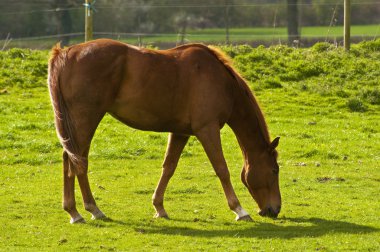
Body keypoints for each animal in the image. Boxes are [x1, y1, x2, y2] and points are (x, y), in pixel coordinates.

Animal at [47, 38, 280, 223]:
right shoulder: (208, 129)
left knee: (72, 160)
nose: (275, 209)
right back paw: (87, 210)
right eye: (275, 170)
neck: (221, 81)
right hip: (85, 120)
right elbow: (222, 169)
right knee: (76, 161)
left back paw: (79, 211)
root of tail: (66, 53)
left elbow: (169, 167)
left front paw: (159, 207)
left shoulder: (180, 133)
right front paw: (239, 210)